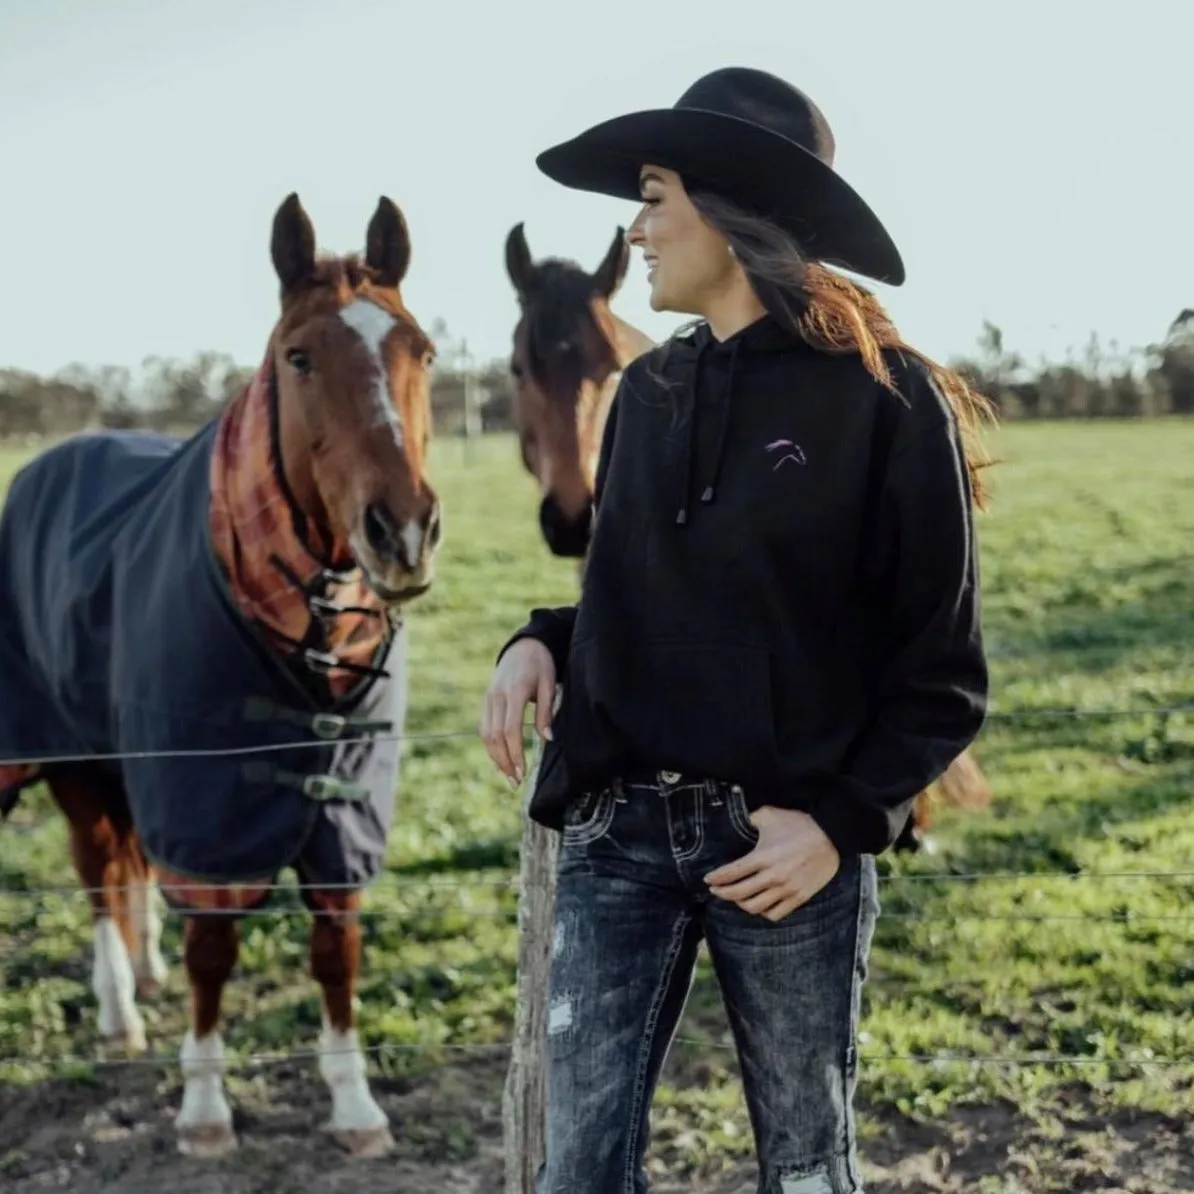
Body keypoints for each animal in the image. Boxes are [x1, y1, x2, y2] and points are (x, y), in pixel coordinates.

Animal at [0, 193, 444, 1155]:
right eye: (299, 356)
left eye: (422, 351)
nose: (402, 532)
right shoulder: (204, 807)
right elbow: (214, 949)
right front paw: (204, 1108)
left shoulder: (343, 806)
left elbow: (335, 951)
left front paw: (355, 1105)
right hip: (67, 759)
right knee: (97, 874)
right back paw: (120, 1011)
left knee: (123, 867)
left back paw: (145, 971)